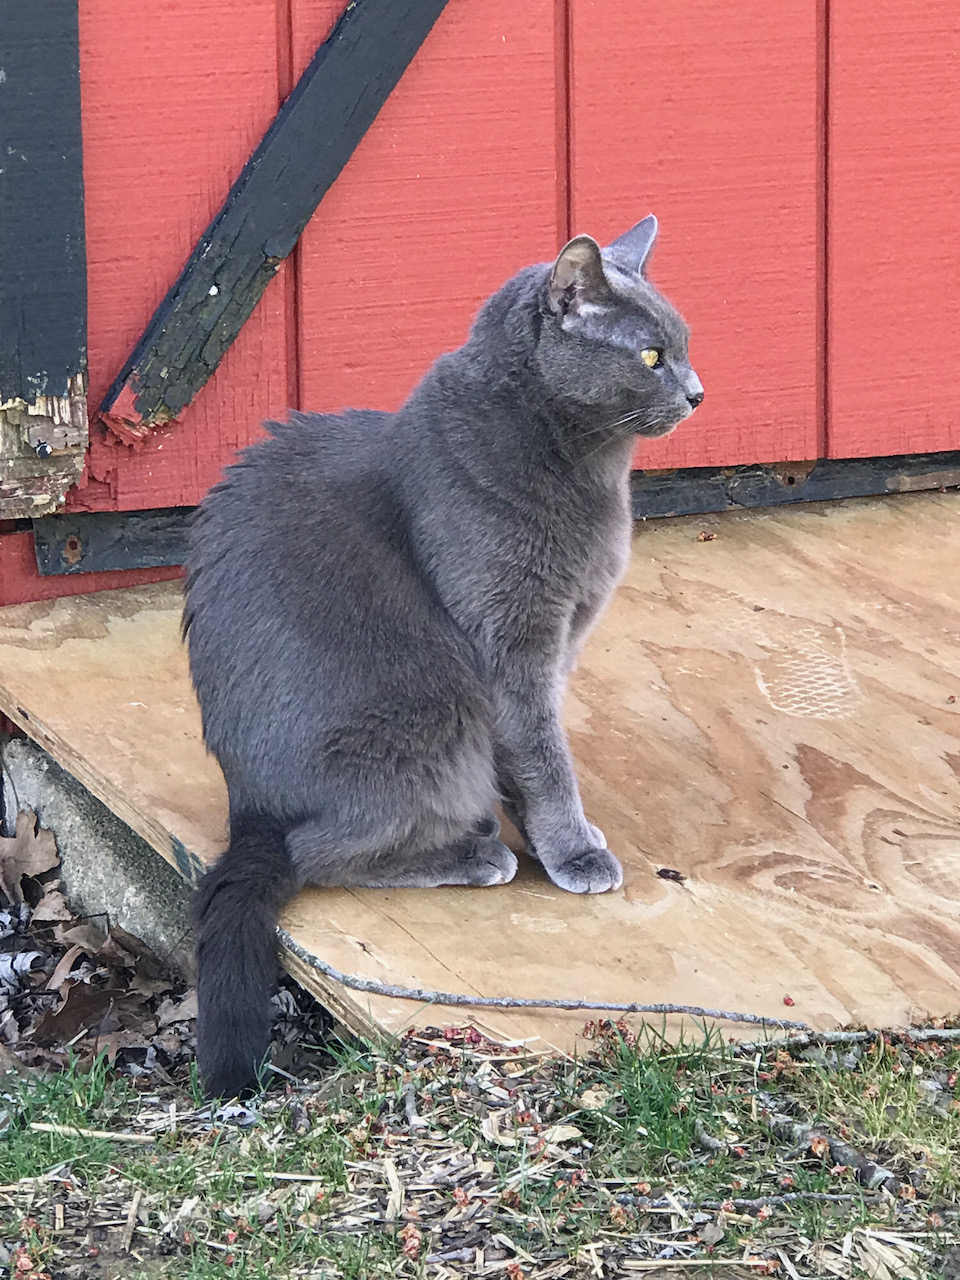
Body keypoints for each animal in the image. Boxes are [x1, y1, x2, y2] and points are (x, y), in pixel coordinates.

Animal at [184, 215, 701, 1095]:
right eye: (650, 357)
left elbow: (530, 758)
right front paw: (573, 850)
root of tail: (247, 804)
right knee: (316, 851)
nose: (699, 391)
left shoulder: (557, 642)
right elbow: (545, 756)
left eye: (685, 346)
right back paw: (470, 852)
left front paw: (549, 836)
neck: (587, 473)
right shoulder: (511, 644)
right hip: (429, 712)